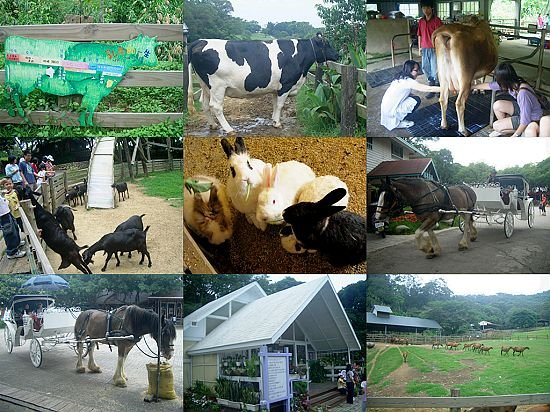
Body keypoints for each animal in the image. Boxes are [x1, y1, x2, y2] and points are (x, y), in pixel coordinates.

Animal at [188, 34, 338, 134]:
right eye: (327, 44)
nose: (338, 55)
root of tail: (199, 41)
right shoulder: (286, 85)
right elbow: (280, 105)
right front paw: (277, 123)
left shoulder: (276, 88)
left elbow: (275, 104)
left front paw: (273, 119)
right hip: (217, 86)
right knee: (216, 106)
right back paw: (229, 129)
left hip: (205, 85)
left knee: (205, 104)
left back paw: (213, 125)